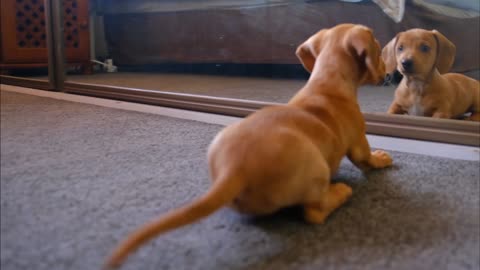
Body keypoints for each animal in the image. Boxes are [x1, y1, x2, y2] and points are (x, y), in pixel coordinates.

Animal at [103, 23, 392, 268]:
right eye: (379, 51)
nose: (388, 73)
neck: (327, 81)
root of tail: (234, 168)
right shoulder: (358, 140)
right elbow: (366, 158)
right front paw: (380, 158)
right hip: (317, 168)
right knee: (314, 211)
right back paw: (340, 192)